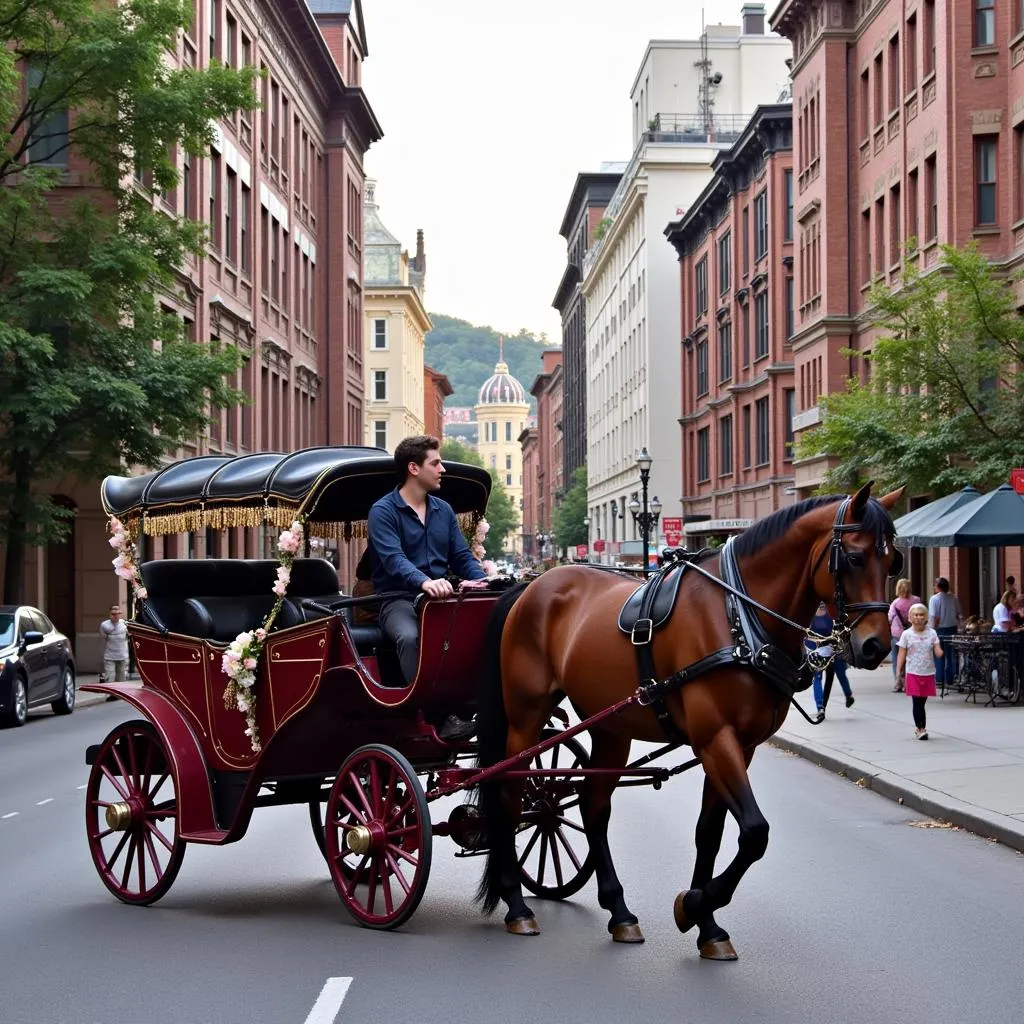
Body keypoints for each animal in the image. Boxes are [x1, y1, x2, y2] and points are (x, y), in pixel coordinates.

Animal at [475, 483, 901, 954]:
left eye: (895, 560)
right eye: (855, 558)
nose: (877, 647)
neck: (738, 616)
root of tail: (529, 585)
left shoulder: (742, 746)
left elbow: (710, 833)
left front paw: (706, 923)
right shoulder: (716, 739)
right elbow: (755, 831)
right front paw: (694, 904)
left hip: (608, 725)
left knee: (593, 806)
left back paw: (619, 911)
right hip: (525, 716)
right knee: (510, 797)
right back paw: (516, 904)